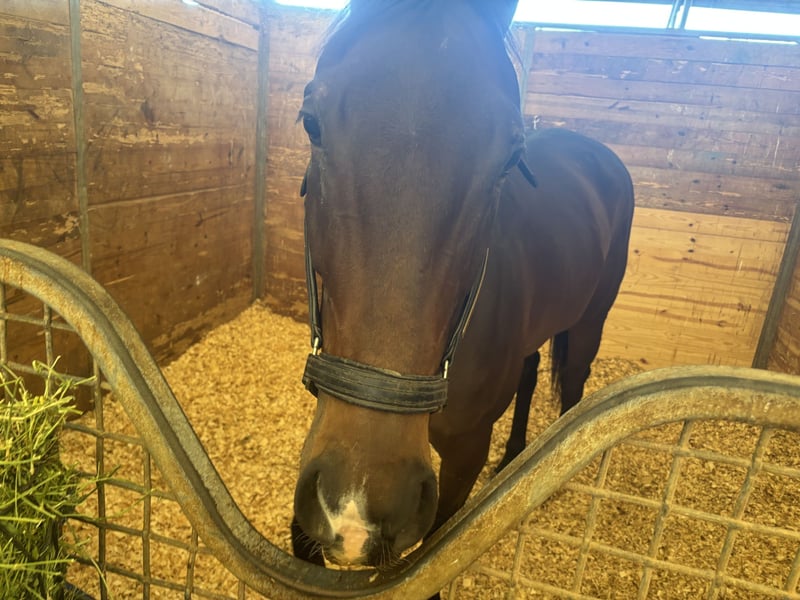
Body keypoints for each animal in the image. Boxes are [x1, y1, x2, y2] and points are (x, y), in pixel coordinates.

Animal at [291, 0, 635, 572]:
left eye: (510, 157)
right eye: (311, 122)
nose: (357, 510)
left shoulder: (463, 458)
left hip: (591, 322)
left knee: (574, 385)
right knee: (531, 373)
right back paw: (515, 455)